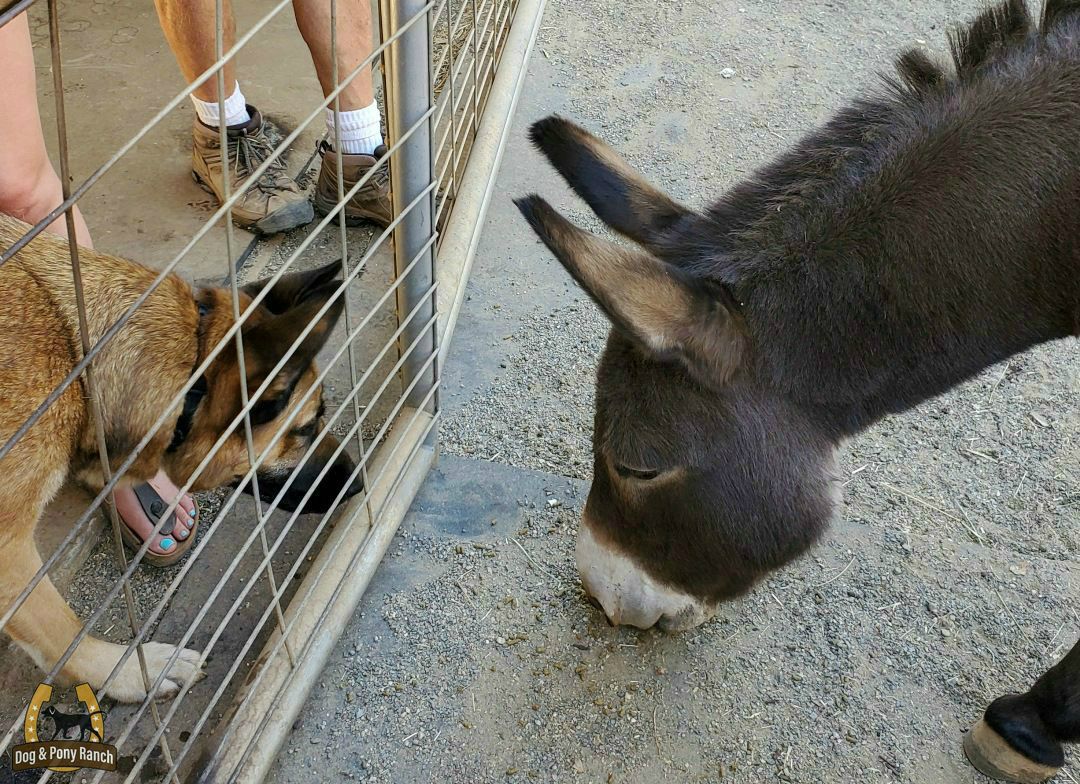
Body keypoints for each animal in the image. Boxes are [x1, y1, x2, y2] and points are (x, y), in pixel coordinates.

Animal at [0, 211, 362, 704]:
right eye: (306, 428)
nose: (359, 481)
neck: (80, 366)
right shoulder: (9, 548)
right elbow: (61, 630)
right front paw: (132, 672)